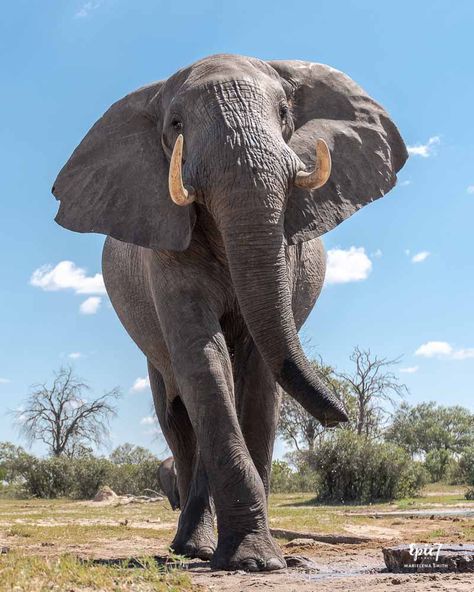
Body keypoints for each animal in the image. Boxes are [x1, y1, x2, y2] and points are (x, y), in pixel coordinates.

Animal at [52, 53, 408, 572]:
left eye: (284, 112)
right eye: (176, 125)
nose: (341, 417)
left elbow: (258, 371)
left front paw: (262, 560)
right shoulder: (165, 246)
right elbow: (203, 358)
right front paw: (252, 561)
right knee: (177, 414)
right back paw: (190, 548)